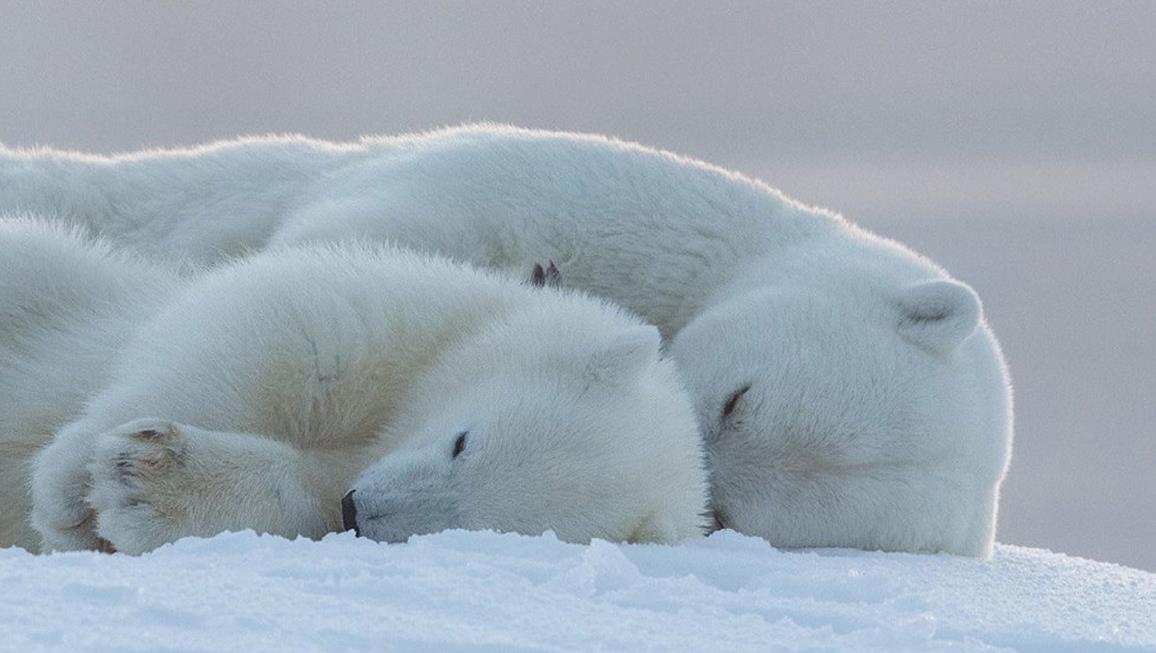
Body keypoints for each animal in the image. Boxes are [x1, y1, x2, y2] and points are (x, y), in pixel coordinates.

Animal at [0, 217, 702, 550]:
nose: (359, 508)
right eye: (463, 442)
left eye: (476, 527)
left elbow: (293, 500)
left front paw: (143, 487)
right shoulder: (412, 323)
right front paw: (69, 489)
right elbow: (268, 335)